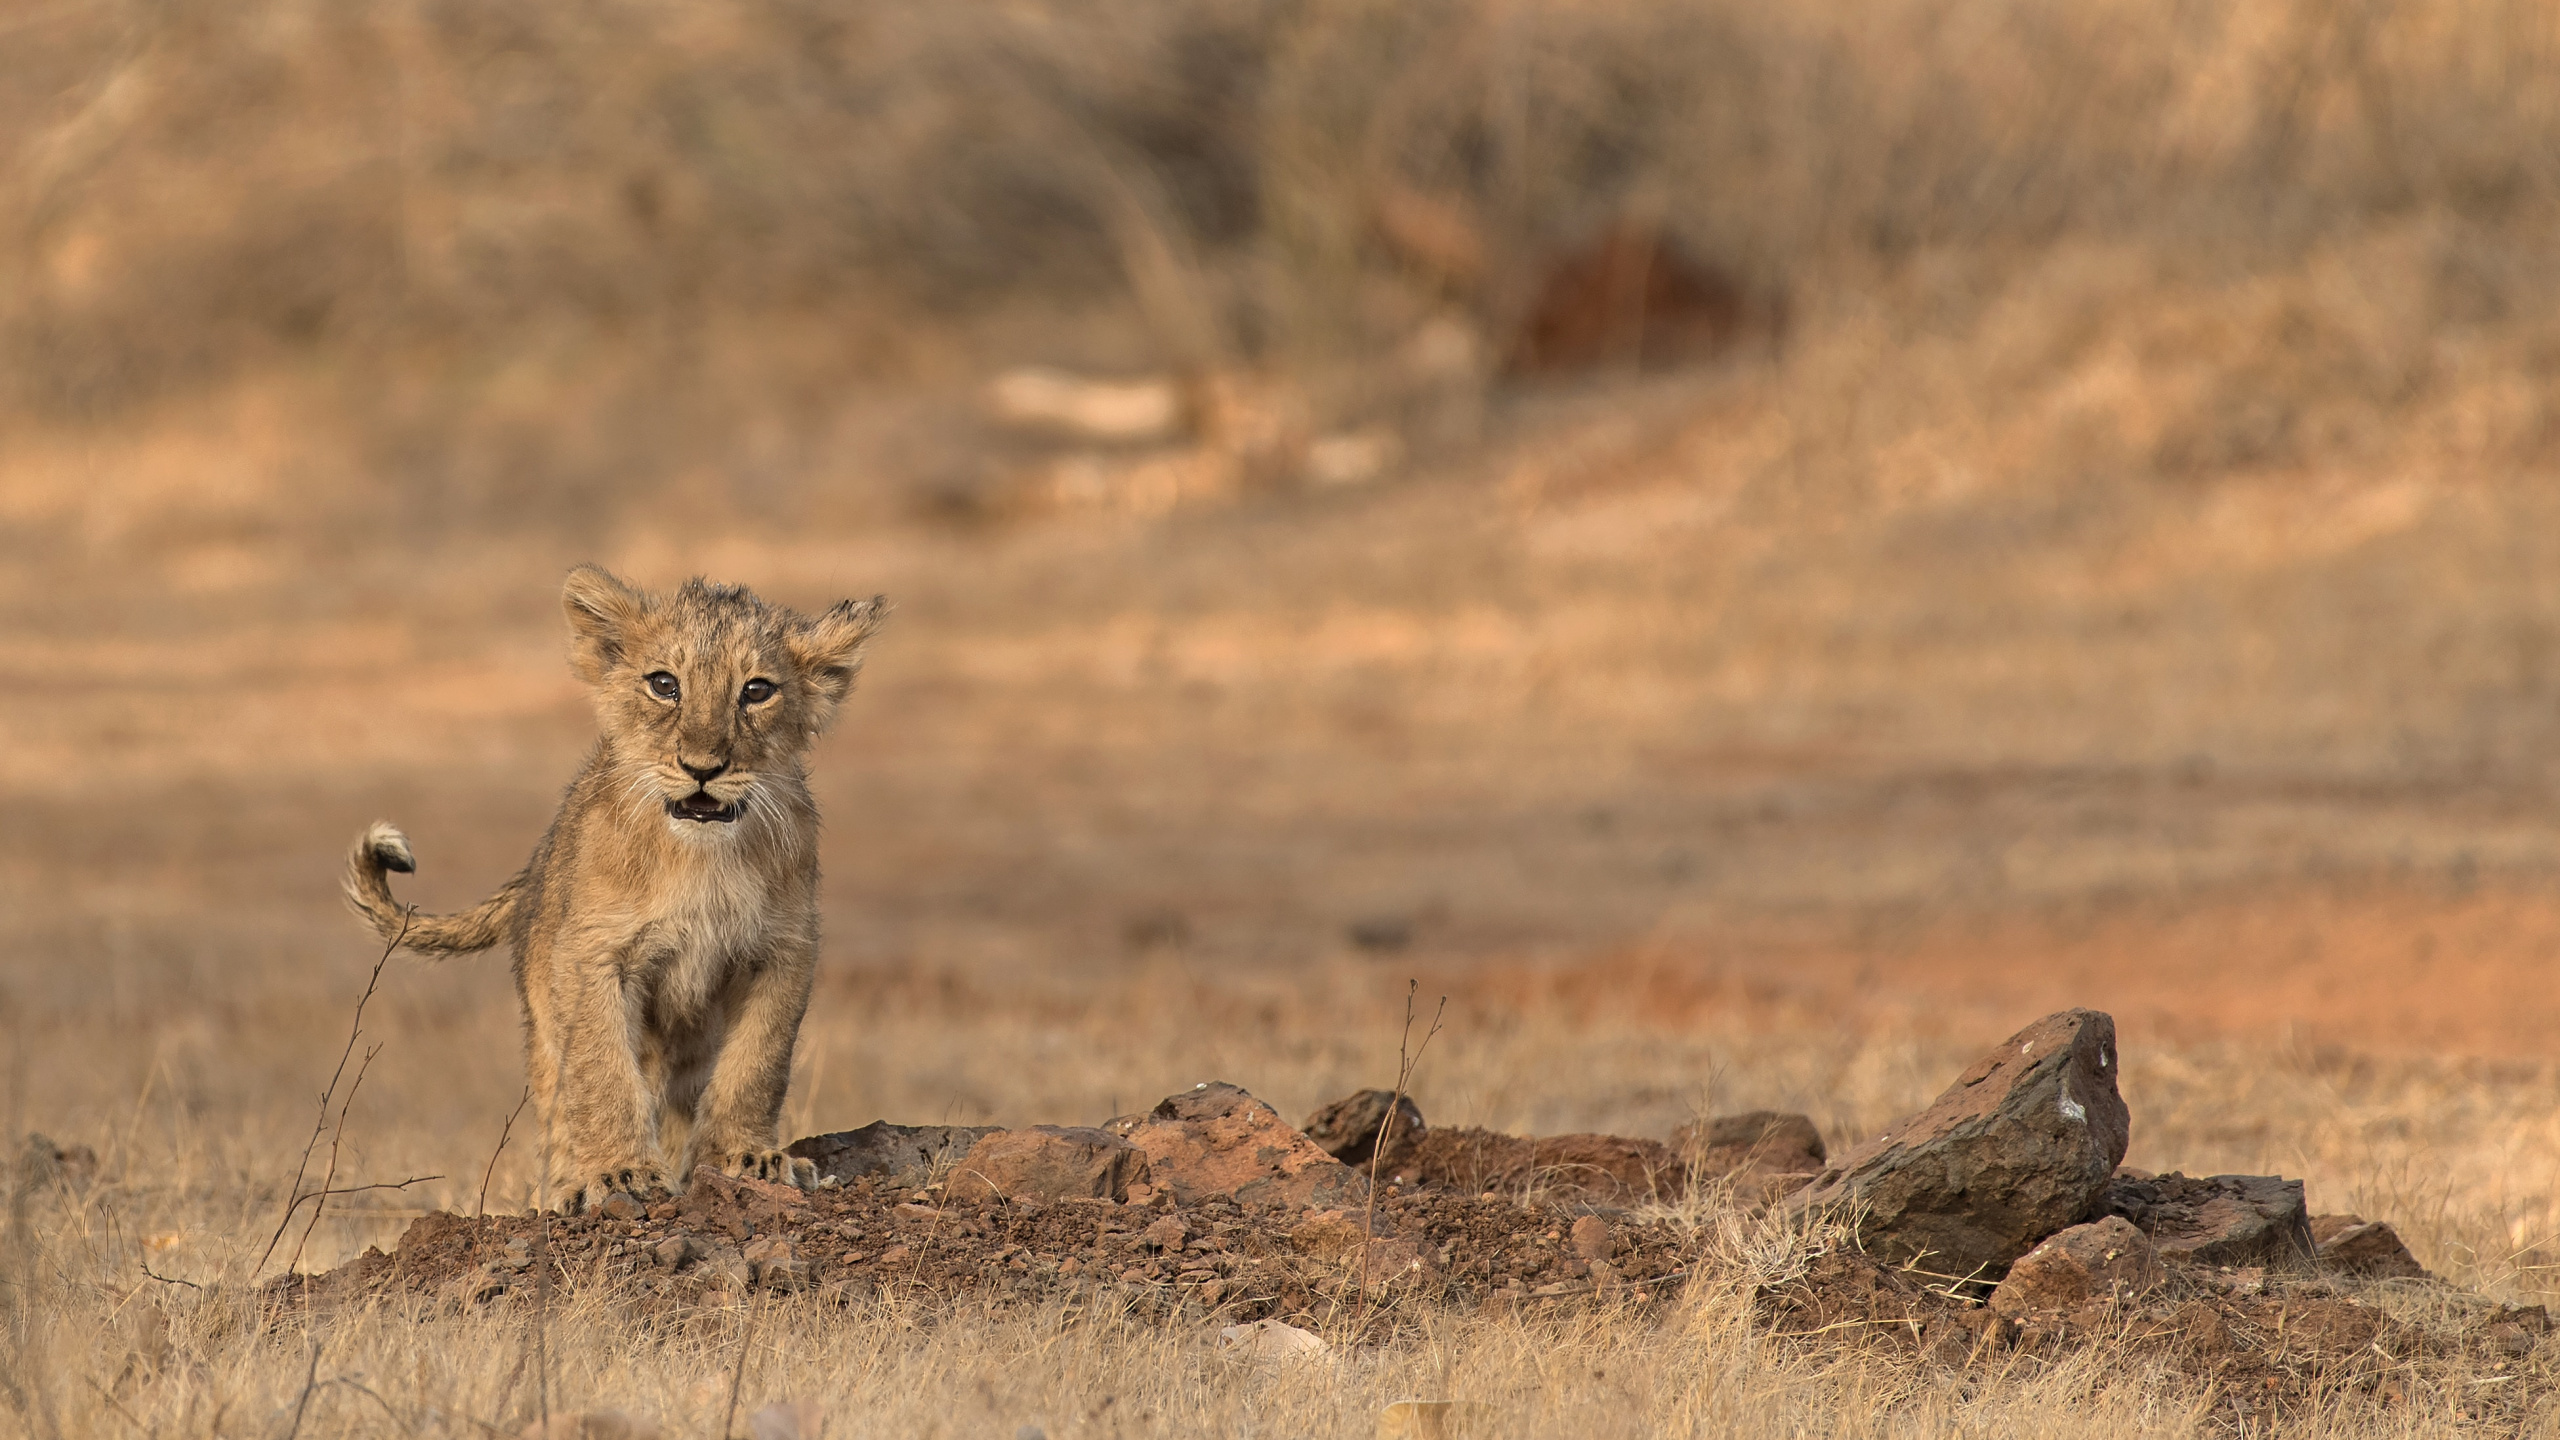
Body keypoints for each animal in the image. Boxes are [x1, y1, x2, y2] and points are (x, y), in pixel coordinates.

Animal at [344, 566, 886, 1213]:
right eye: (664, 684)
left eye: (757, 691)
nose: (702, 767)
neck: (699, 859)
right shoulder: (594, 955)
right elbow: (602, 1070)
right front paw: (622, 1173)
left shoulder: (783, 952)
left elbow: (757, 1062)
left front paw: (744, 1157)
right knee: (562, 1108)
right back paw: (564, 1188)